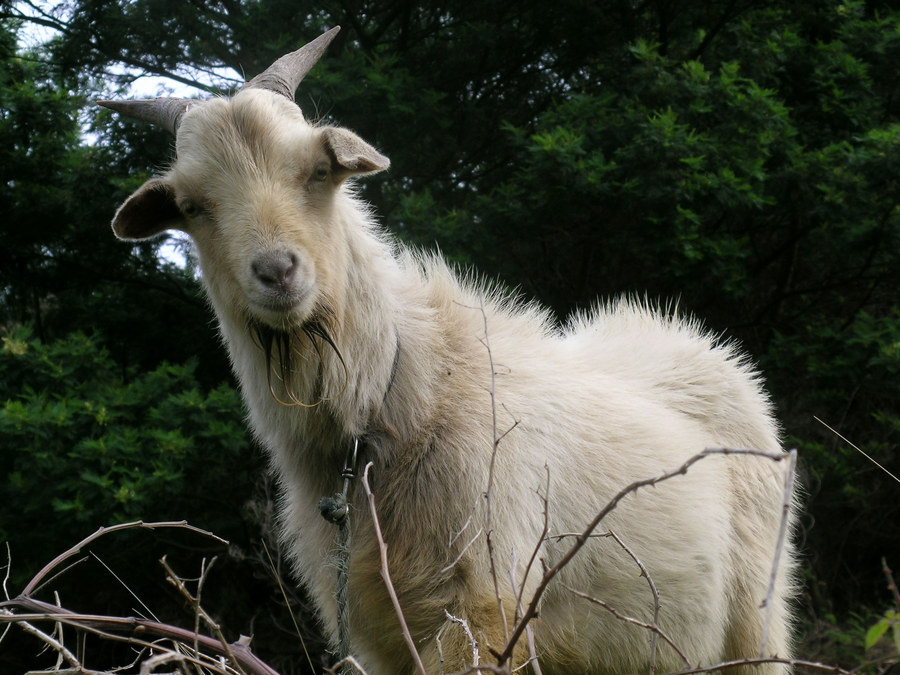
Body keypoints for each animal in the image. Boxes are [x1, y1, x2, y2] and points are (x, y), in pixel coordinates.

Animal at [102, 26, 800, 675]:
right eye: (192, 206)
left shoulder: (483, 606)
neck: (398, 395)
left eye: (319, 170)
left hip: (756, 622)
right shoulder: (375, 628)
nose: (276, 272)